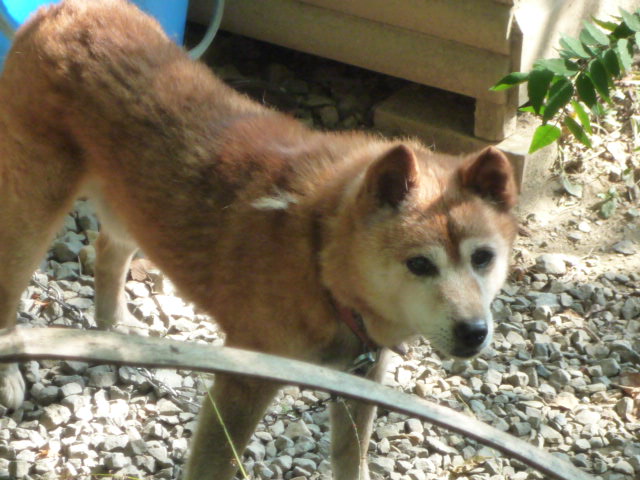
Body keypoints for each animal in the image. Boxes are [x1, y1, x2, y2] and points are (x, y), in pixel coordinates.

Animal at [0, 1, 520, 478]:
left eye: (483, 258)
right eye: (420, 264)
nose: (474, 331)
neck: (319, 259)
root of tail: (65, 9)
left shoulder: (361, 383)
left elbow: (352, 460)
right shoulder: (244, 383)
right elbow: (213, 464)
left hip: (132, 201)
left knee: (109, 250)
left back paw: (113, 325)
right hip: (35, 212)